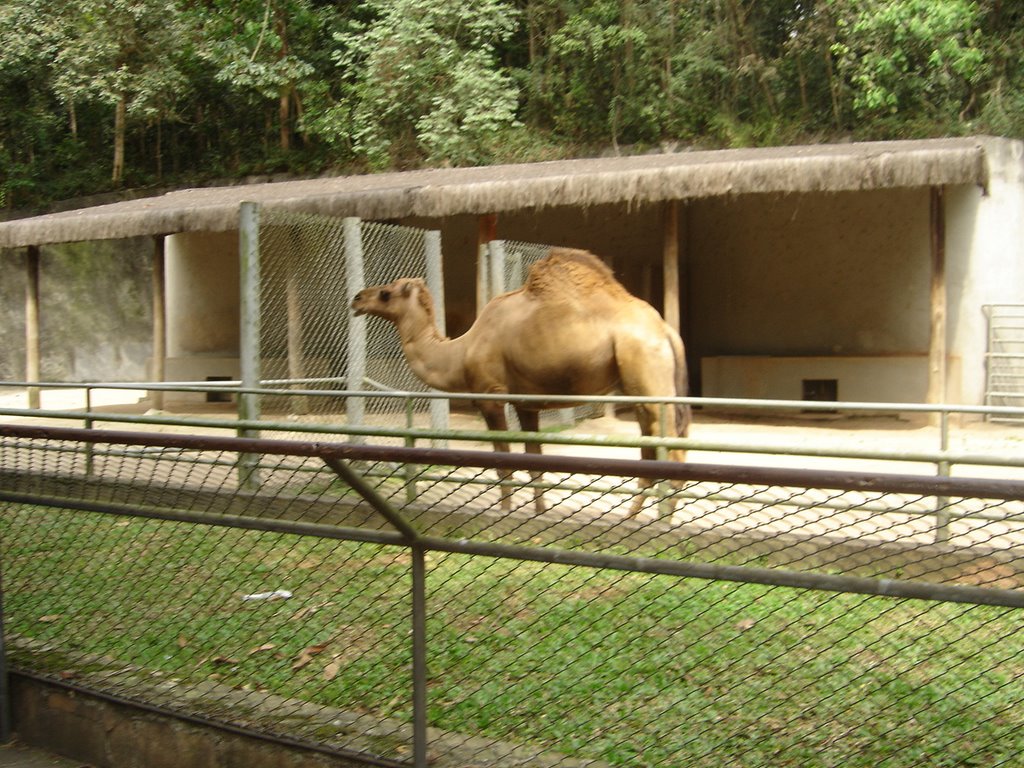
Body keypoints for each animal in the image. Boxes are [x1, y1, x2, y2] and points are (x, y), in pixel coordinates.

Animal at [348, 249, 692, 518]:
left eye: (386, 293)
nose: (357, 299)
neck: (461, 351)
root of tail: (666, 331)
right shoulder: (526, 403)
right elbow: (534, 463)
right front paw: (538, 514)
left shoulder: (490, 396)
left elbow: (504, 463)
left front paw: (503, 513)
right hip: (642, 386)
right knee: (652, 449)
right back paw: (633, 518)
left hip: (647, 370)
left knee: (671, 450)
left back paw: (662, 525)